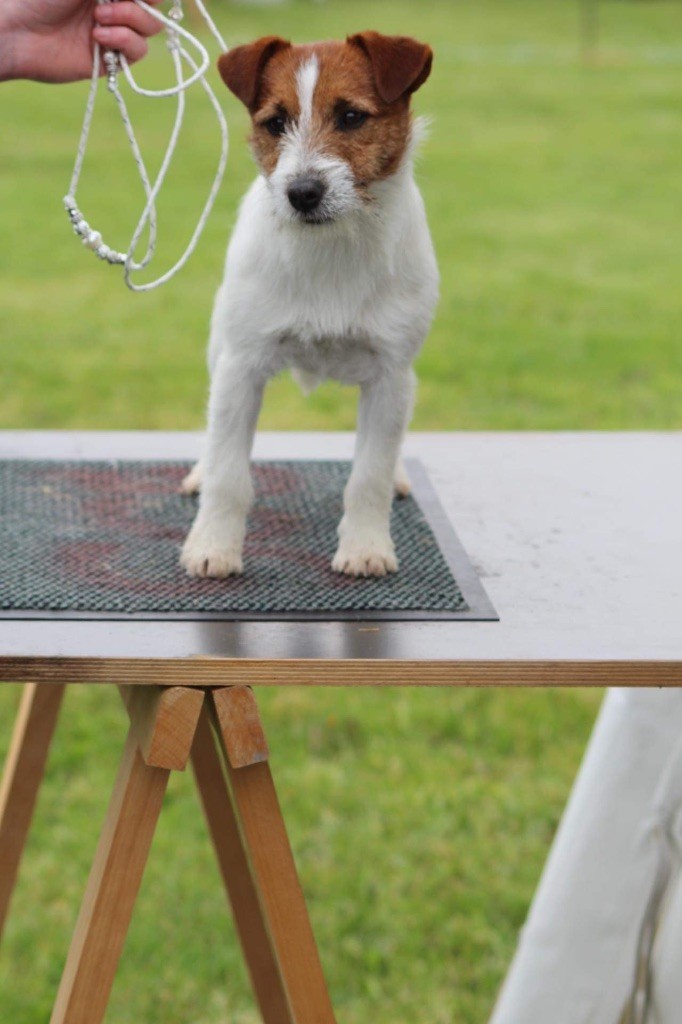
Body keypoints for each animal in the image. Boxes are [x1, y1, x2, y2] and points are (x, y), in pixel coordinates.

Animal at [179, 29, 436, 577]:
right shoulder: (241, 368)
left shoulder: (389, 374)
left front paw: (365, 547)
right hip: (220, 349)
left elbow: (369, 475)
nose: (302, 192)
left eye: (352, 117)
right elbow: (229, 474)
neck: (331, 250)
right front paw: (213, 546)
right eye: (276, 123)